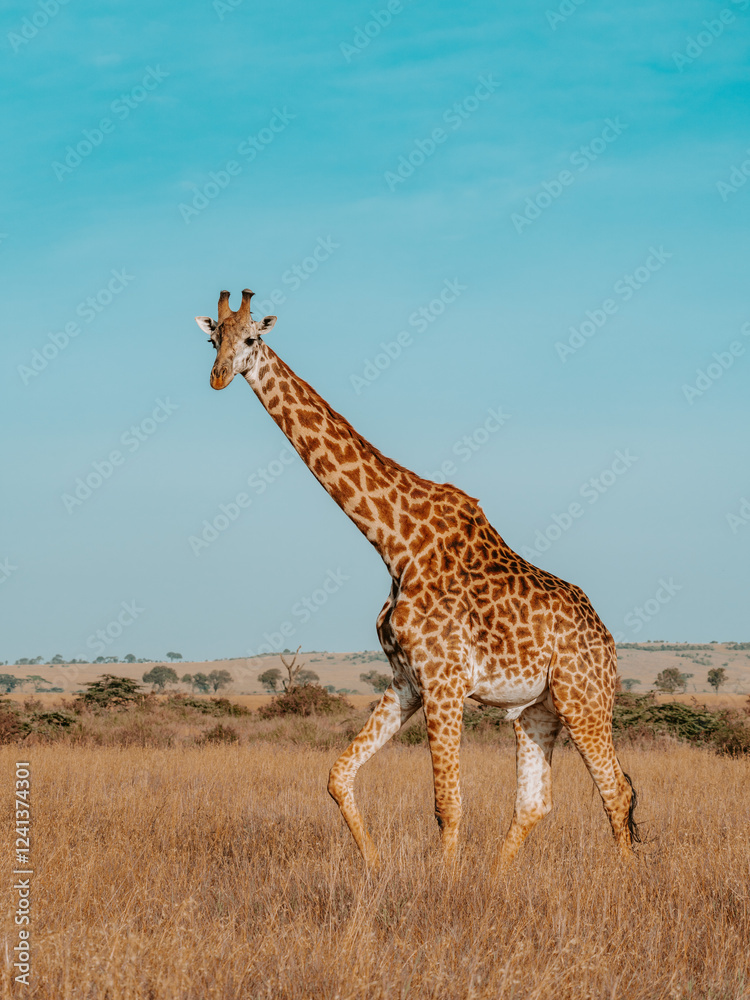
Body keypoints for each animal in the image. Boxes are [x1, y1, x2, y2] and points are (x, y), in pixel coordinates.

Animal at [196, 288, 639, 868]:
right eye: (212, 339)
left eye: (252, 338)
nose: (218, 377)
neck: (394, 543)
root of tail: (606, 639)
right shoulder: (406, 679)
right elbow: (338, 775)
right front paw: (374, 869)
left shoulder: (444, 681)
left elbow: (447, 805)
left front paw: (445, 888)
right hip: (535, 710)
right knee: (535, 804)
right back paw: (497, 881)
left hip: (583, 697)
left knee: (616, 791)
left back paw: (626, 880)